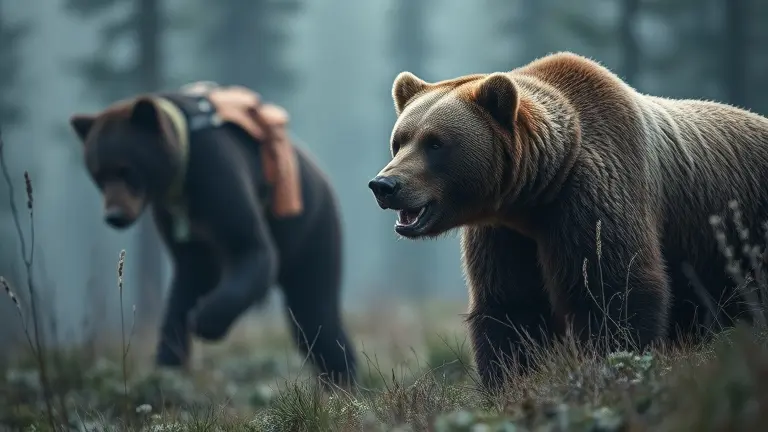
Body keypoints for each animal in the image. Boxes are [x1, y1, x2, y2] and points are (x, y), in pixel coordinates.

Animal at [69, 82, 357, 386]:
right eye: (99, 174)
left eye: (127, 170)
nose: (115, 216)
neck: (179, 179)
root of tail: (319, 170)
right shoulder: (177, 221)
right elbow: (184, 285)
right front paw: (169, 360)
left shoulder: (215, 174)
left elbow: (250, 247)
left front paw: (206, 319)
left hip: (310, 227)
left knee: (316, 312)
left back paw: (345, 380)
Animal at [368, 51, 768, 391]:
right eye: (399, 140)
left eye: (435, 143)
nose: (384, 185)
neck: (535, 196)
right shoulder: (505, 235)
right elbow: (511, 309)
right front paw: (509, 380)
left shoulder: (595, 197)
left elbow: (614, 291)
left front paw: (613, 364)